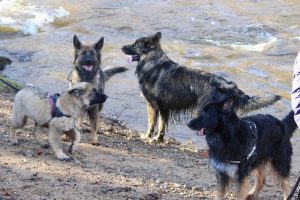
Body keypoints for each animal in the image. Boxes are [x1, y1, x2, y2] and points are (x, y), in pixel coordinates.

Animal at [120, 31, 280, 142]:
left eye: (135, 45)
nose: (122, 47)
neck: (152, 61)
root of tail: (228, 86)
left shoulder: (153, 105)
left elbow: (151, 124)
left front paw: (147, 136)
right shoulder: (164, 108)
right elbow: (161, 126)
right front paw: (159, 139)